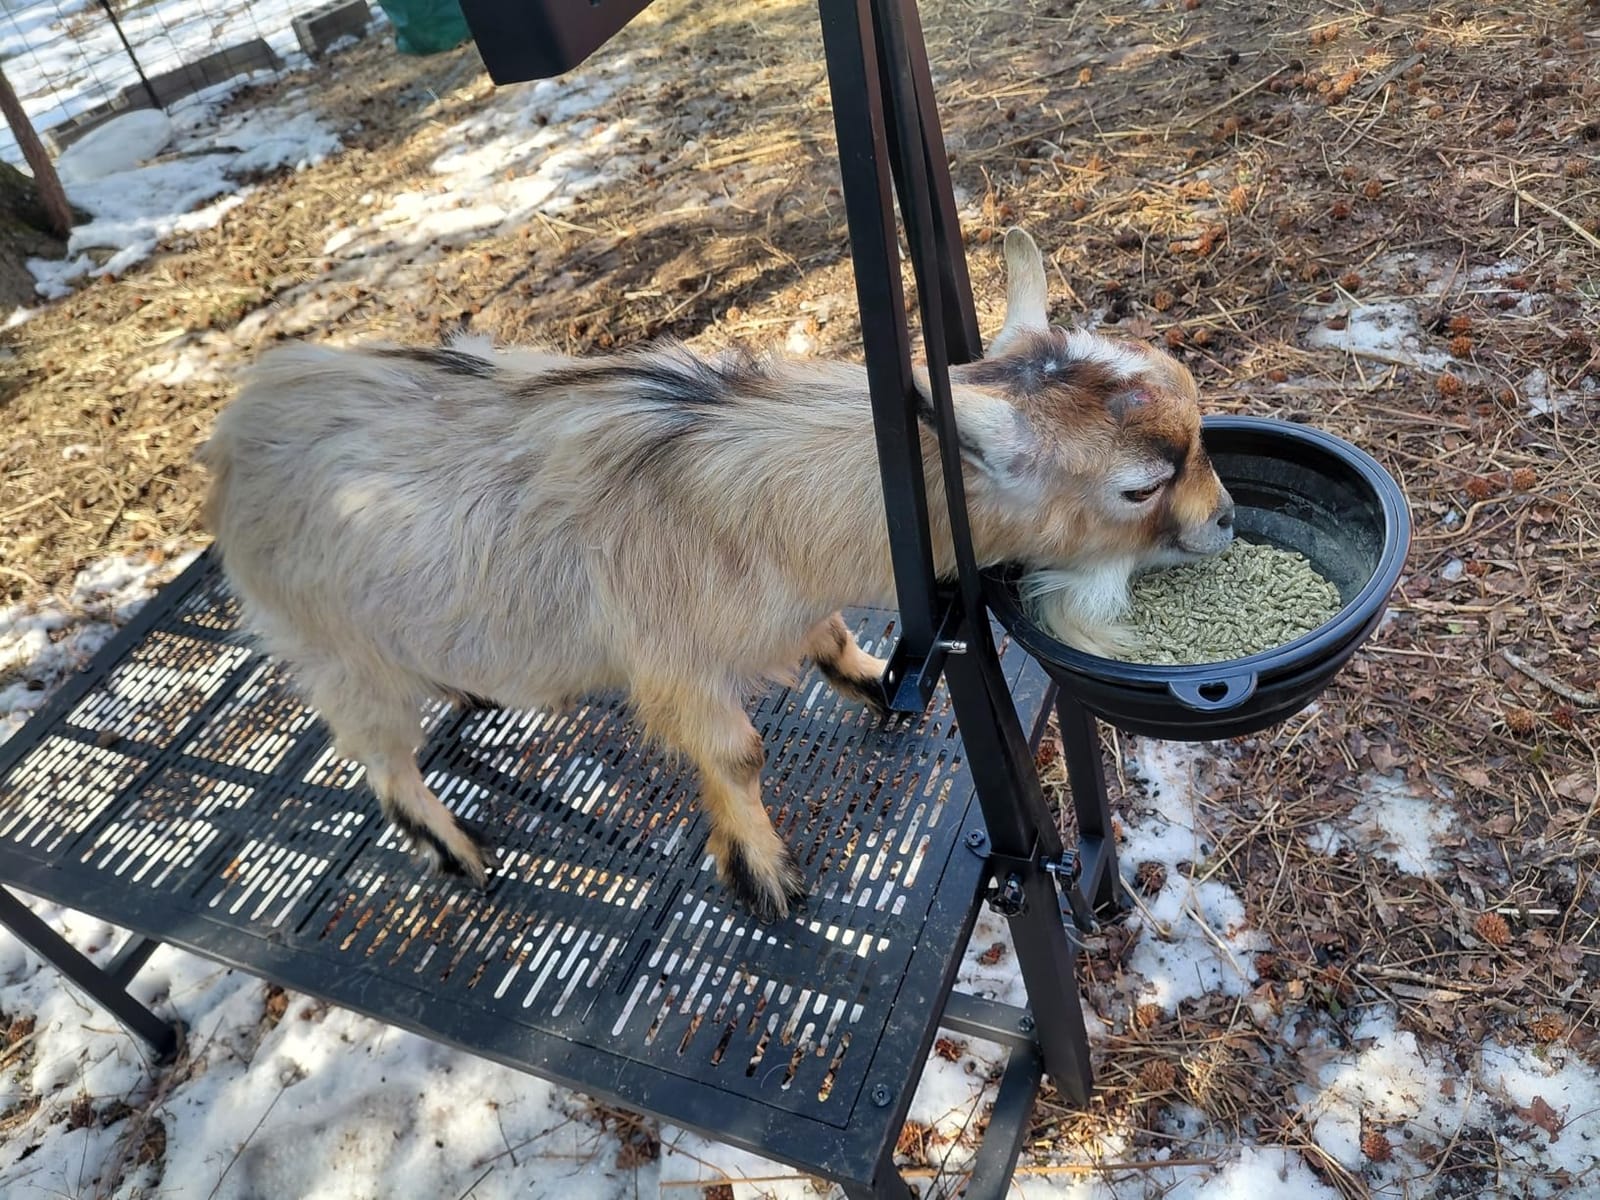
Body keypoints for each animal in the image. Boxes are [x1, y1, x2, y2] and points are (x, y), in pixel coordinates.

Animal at [198, 228, 1234, 922]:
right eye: (1139, 486)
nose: (1224, 521)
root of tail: (237, 425)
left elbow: (827, 633)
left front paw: (868, 681)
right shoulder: (675, 666)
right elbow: (736, 755)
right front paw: (763, 873)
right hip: (338, 653)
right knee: (380, 759)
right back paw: (456, 850)